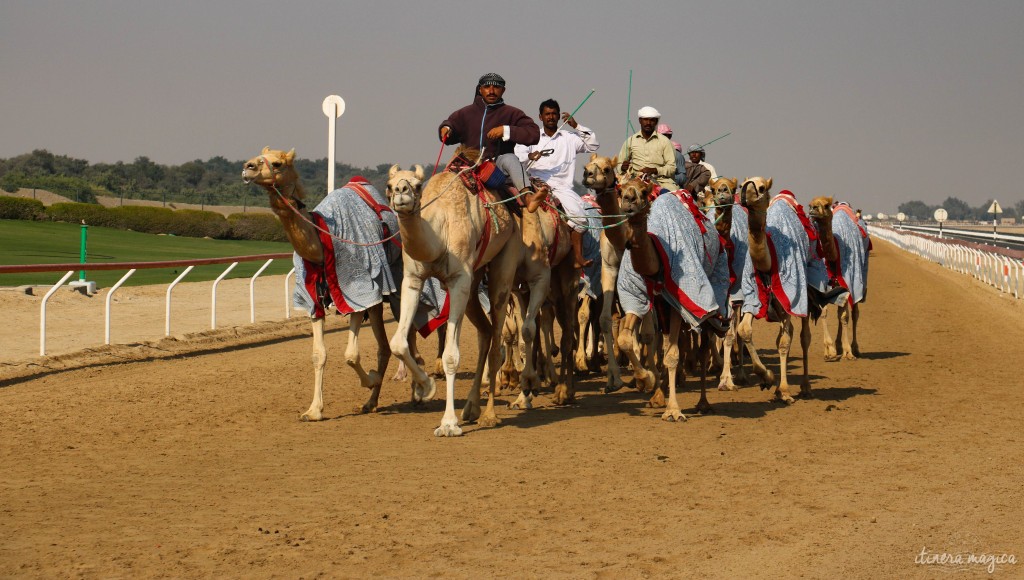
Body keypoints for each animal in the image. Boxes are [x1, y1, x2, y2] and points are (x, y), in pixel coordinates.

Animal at [241, 148, 397, 422]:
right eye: (259, 155)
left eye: (277, 163)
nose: (247, 167)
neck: (321, 243)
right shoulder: (313, 298)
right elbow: (318, 354)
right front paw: (313, 411)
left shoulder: (358, 293)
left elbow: (351, 354)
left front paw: (370, 379)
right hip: (379, 301)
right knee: (385, 347)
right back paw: (370, 403)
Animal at [387, 156, 524, 438]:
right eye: (389, 185)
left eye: (417, 185)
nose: (401, 193)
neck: (439, 233)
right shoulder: (413, 279)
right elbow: (398, 343)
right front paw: (426, 388)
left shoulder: (459, 280)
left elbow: (451, 355)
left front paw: (448, 424)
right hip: (473, 283)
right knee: (485, 332)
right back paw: (471, 408)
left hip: (505, 261)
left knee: (497, 333)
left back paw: (489, 415)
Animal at [610, 177, 733, 422]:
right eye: (621, 189)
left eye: (644, 191)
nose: (629, 200)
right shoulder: (637, 296)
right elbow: (626, 340)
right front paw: (647, 379)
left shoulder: (678, 304)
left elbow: (673, 355)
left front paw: (674, 410)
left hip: (711, 293)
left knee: (704, 347)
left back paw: (703, 403)